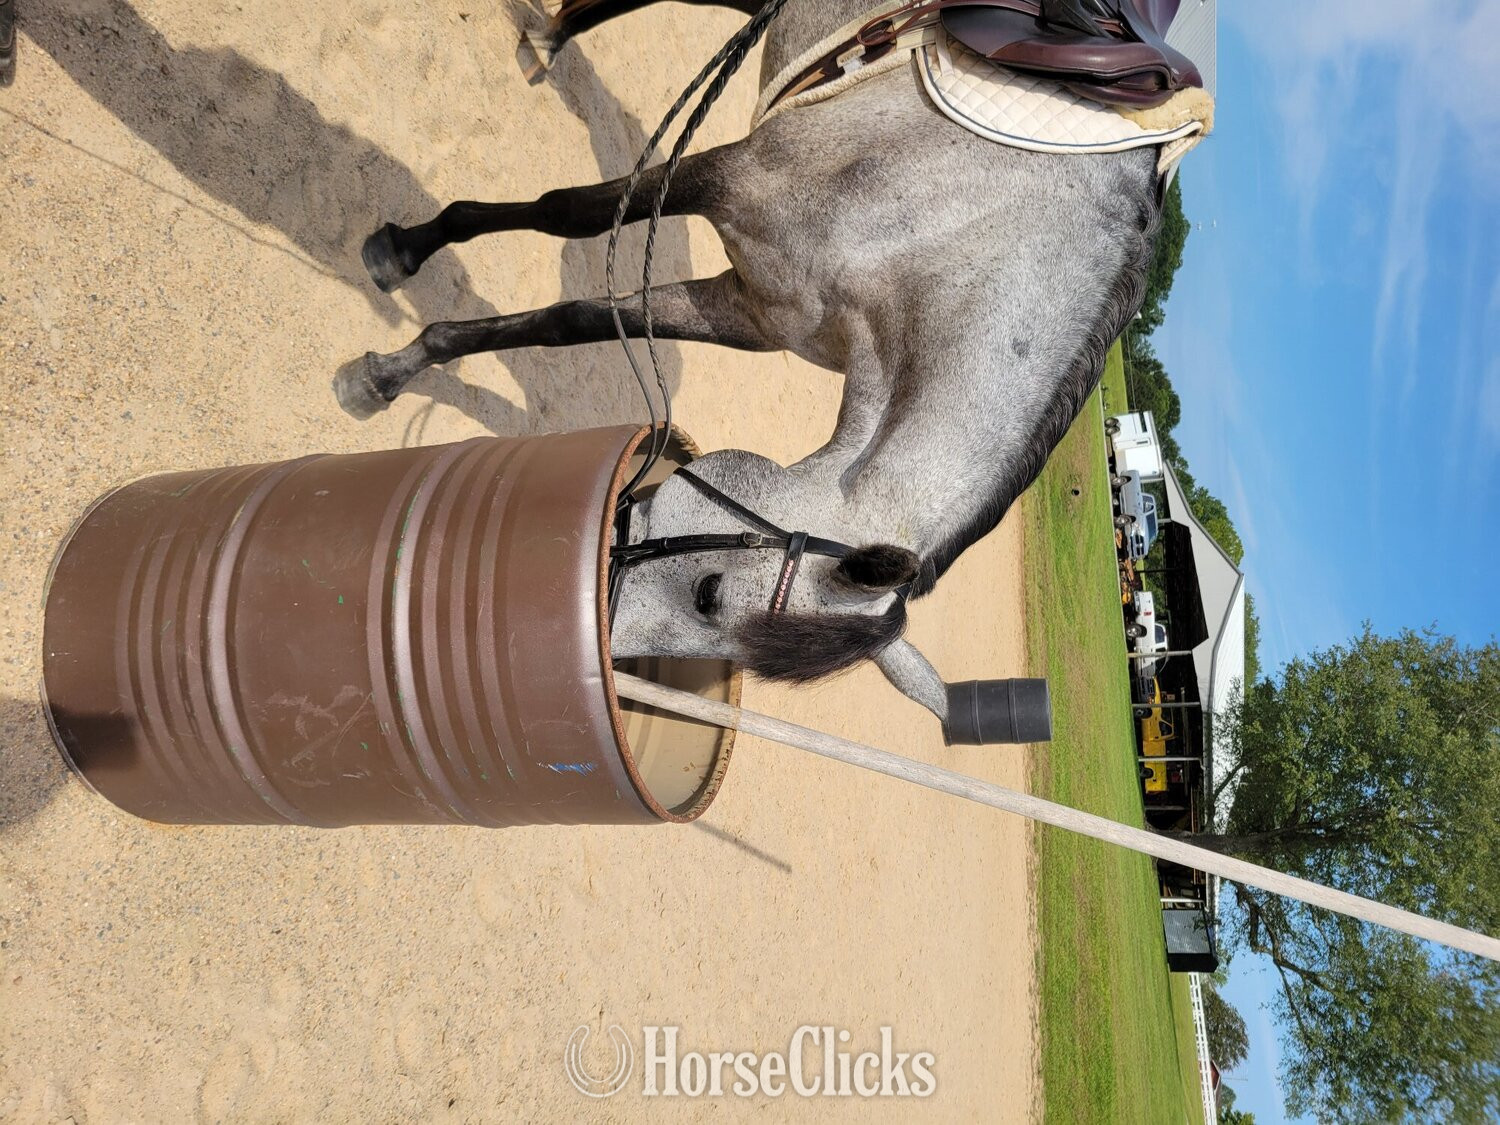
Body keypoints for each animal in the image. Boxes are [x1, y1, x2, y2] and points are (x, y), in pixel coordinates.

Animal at [336, 0, 1166, 731]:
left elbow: (570, 322)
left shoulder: (754, 307)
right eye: (709, 592)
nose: (585, 655)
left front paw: (398, 366)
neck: (956, 231)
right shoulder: (735, 177)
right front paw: (402, 265)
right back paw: (547, 41)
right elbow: (565, 209)